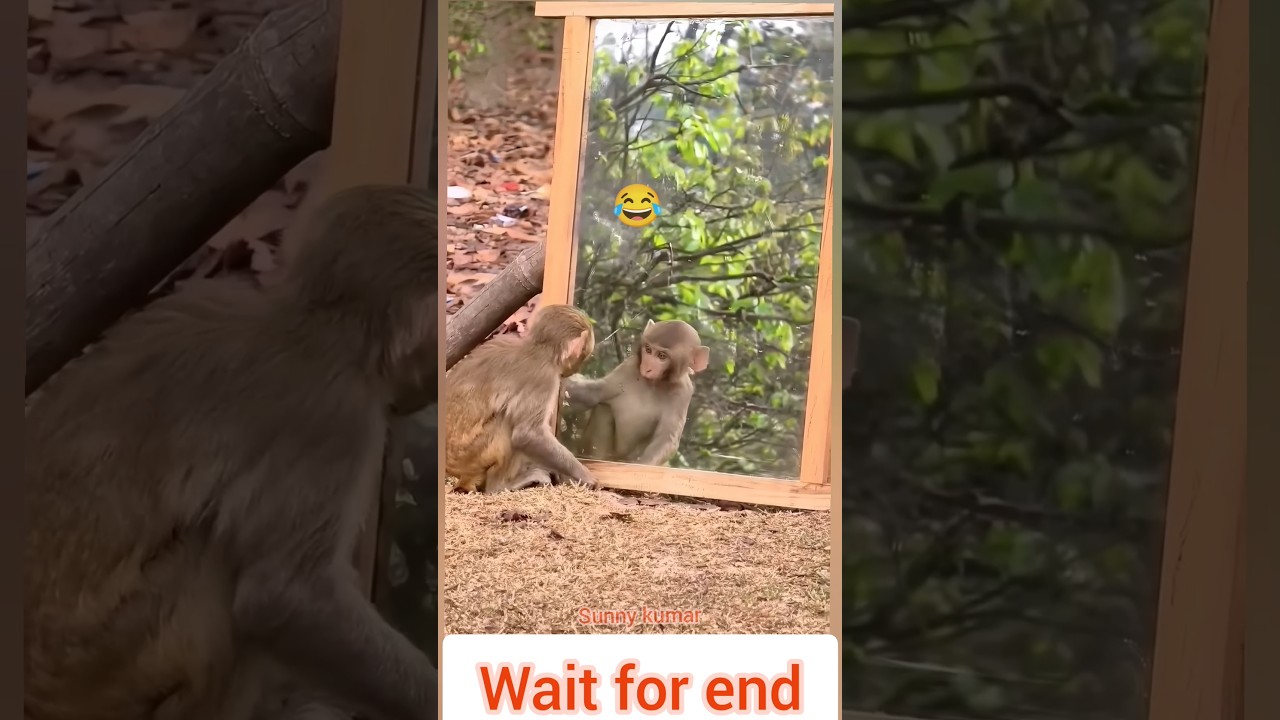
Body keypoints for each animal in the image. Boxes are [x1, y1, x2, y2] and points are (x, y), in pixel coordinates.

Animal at [444, 304, 600, 494]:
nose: (576, 368)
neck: (539, 350)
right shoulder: (544, 378)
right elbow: (528, 434)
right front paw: (585, 476)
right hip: (469, 455)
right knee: (507, 422)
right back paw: (499, 485)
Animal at [563, 319, 710, 466]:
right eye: (648, 350)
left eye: (662, 356)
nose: (647, 366)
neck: (654, 383)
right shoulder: (629, 367)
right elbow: (593, 394)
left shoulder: (682, 393)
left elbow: (666, 438)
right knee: (604, 408)